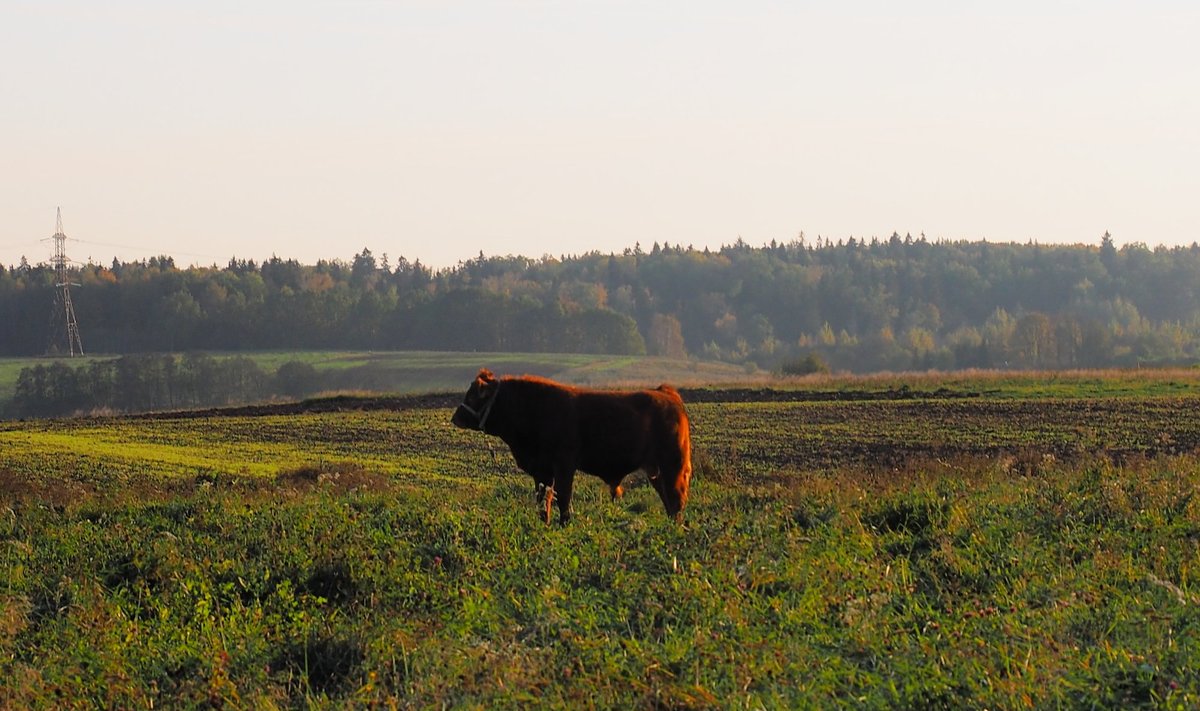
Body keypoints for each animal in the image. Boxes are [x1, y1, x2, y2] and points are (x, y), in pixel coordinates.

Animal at [451, 369, 696, 526]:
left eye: (473, 396)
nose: (456, 417)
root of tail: (665, 393)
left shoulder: (563, 466)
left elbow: (563, 498)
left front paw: (564, 524)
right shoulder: (541, 472)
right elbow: (543, 500)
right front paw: (545, 523)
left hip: (672, 465)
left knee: (676, 499)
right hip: (657, 471)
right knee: (669, 500)